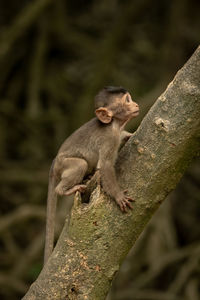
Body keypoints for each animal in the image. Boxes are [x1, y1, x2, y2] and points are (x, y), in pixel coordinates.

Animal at [44, 85, 139, 264]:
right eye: (127, 100)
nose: (136, 104)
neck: (114, 124)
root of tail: (54, 163)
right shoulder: (109, 139)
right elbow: (106, 166)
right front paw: (119, 197)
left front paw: (129, 134)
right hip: (64, 164)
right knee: (80, 164)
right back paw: (67, 189)